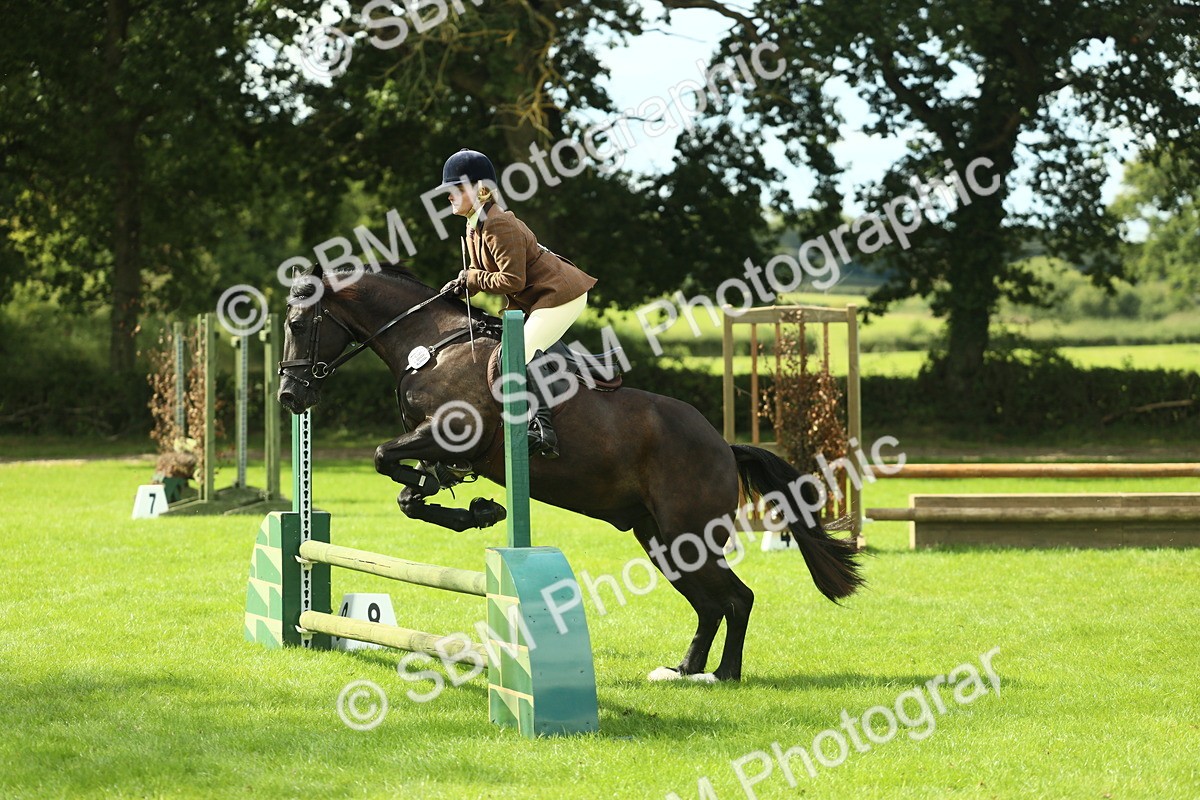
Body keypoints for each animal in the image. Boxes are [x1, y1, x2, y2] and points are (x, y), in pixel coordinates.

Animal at [276, 266, 863, 681]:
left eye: (298, 325)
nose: (289, 397)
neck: (431, 347)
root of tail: (722, 444)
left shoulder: (452, 433)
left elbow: (382, 456)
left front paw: (481, 510)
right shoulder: (433, 444)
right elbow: (406, 486)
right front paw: (471, 508)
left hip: (687, 531)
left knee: (736, 599)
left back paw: (724, 674)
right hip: (660, 539)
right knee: (712, 603)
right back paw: (684, 670)